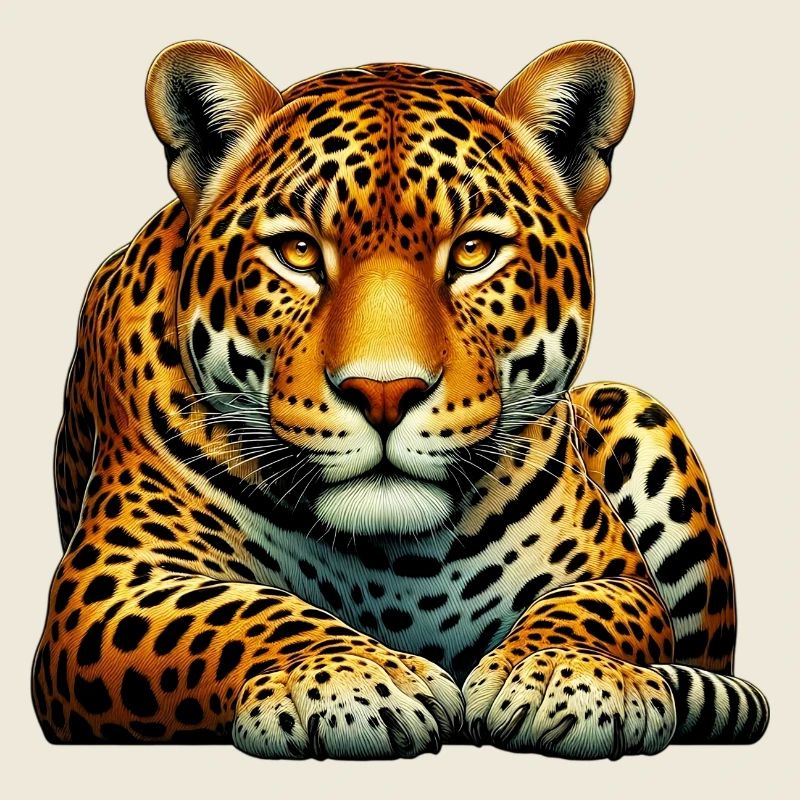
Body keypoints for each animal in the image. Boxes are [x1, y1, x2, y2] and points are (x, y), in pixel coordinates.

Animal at [32, 39, 769, 760]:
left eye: (473, 251)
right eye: (297, 251)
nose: (383, 394)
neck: (394, 559)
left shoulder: (615, 574)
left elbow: (597, 610)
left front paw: (566, 673)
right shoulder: (108, 587)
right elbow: (233, 614)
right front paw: (351, 678)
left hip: (636, 408)